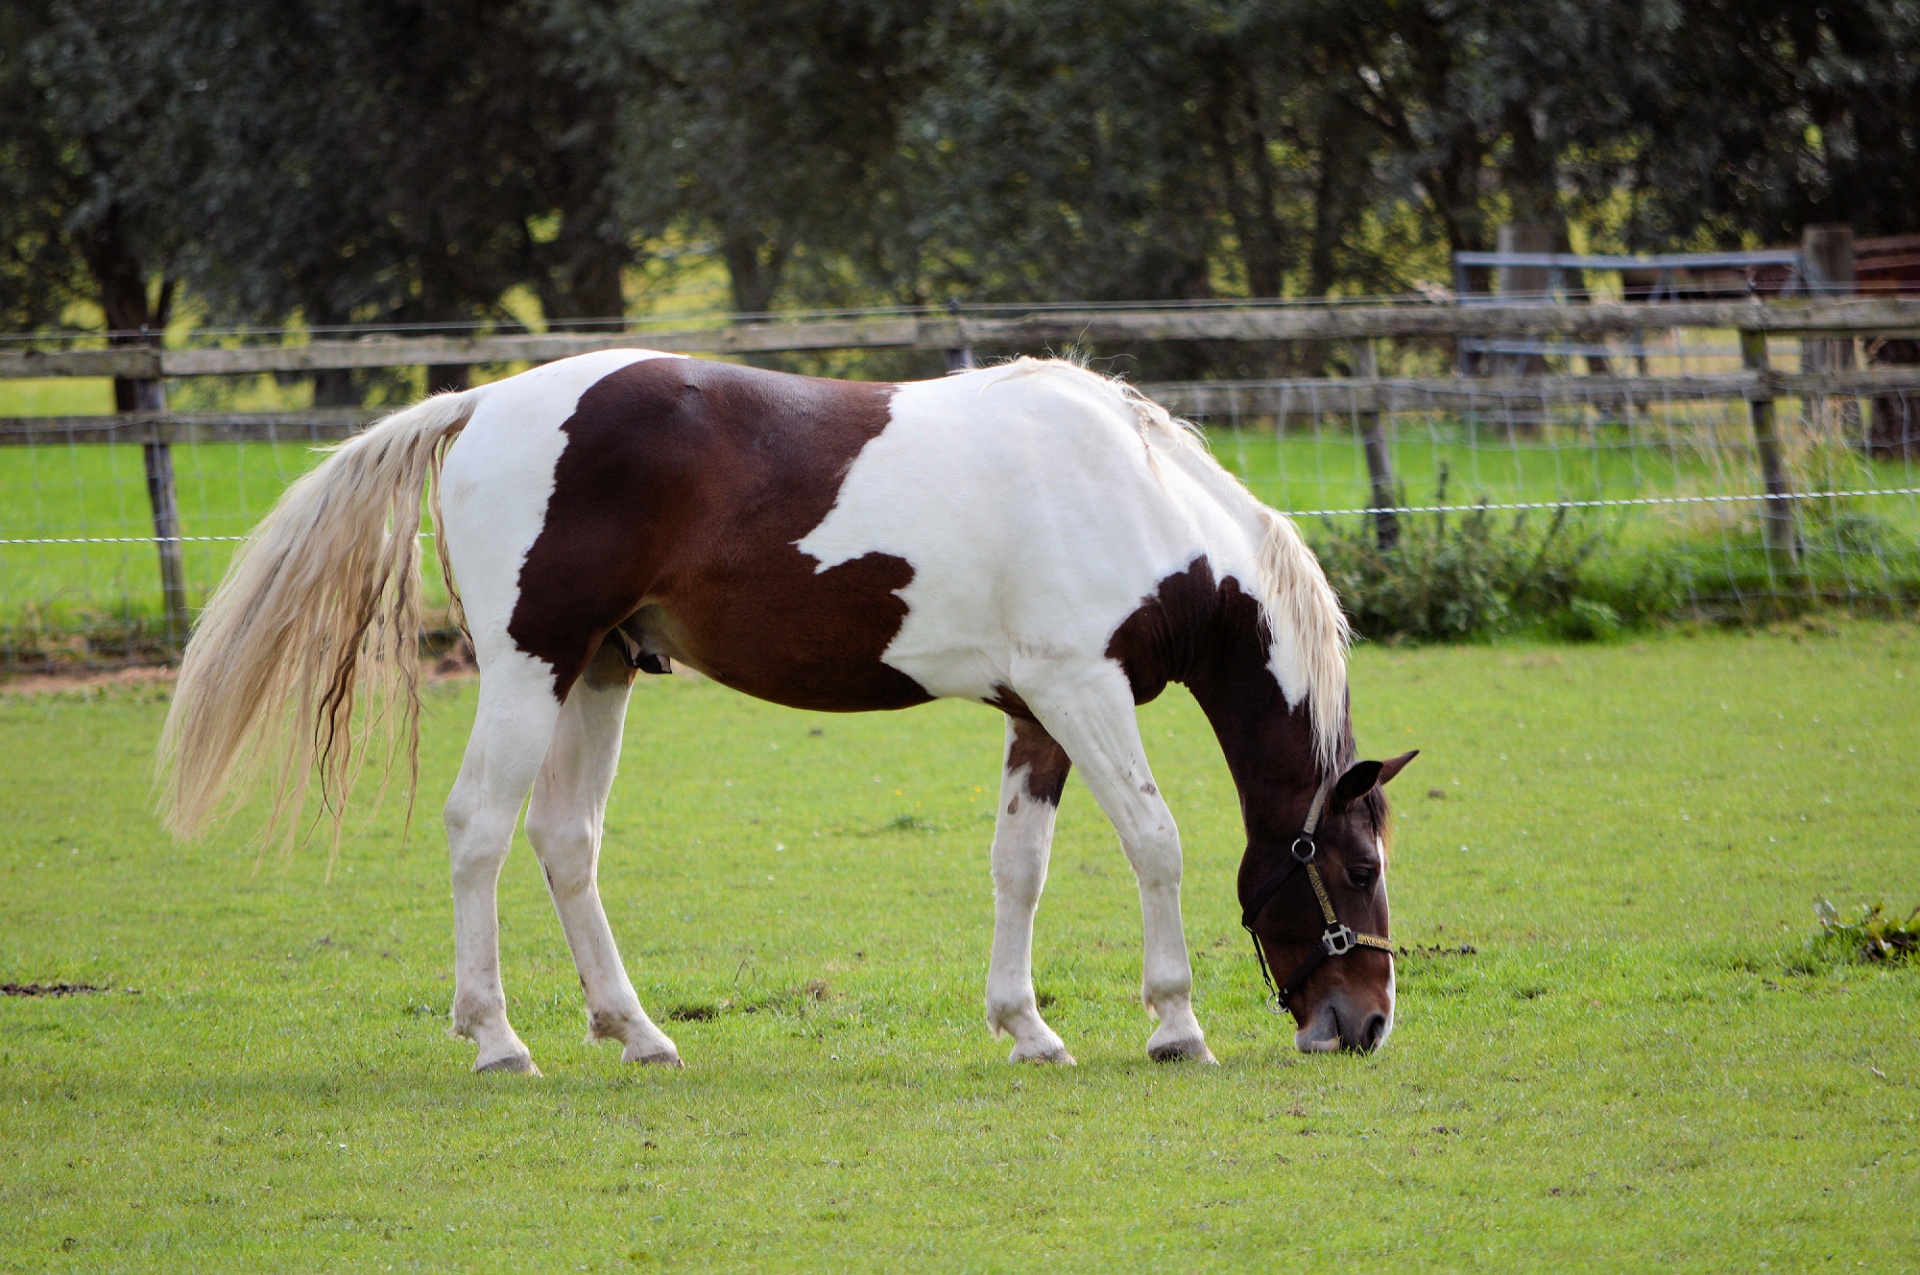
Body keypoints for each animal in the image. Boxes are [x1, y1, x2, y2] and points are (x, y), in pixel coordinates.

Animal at [161, 345, 1413, 1067]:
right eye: (1357, 868)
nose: (1365, 1024)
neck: (1136, 499)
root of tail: (480, 406)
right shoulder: (1083, 690)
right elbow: (1156, 841)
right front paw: (1175, 1023)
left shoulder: (1039, 713)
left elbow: (1020, 867)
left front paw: (1026, 1028)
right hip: (529, 670)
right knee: (479, 832)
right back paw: (499, 1039)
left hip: (598, 672)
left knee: (565, 840)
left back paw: (637, 1034)